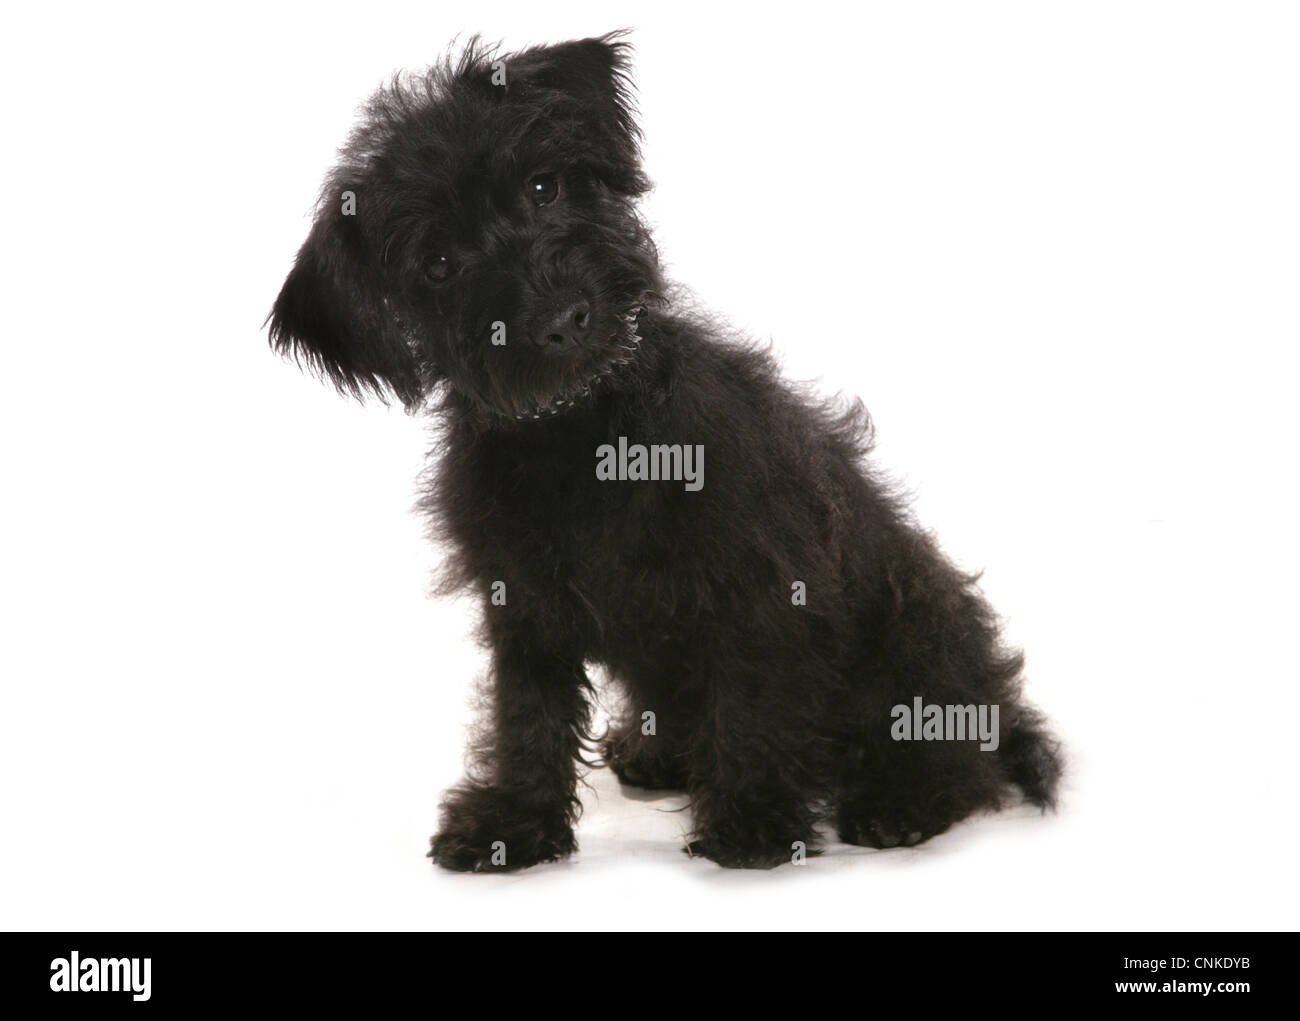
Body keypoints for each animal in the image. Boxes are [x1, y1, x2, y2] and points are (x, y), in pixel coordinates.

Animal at [269, 33, 1060, 868]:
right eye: (441, 266)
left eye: (544, 187)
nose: (562, 317)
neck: (585, 435)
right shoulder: (521, 598)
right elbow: (526, 712)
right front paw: (514, 822)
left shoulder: (760, 579)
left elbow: (749, 698)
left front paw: (750, 824)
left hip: (918, 626)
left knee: (961, 752)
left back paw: (899, 801)